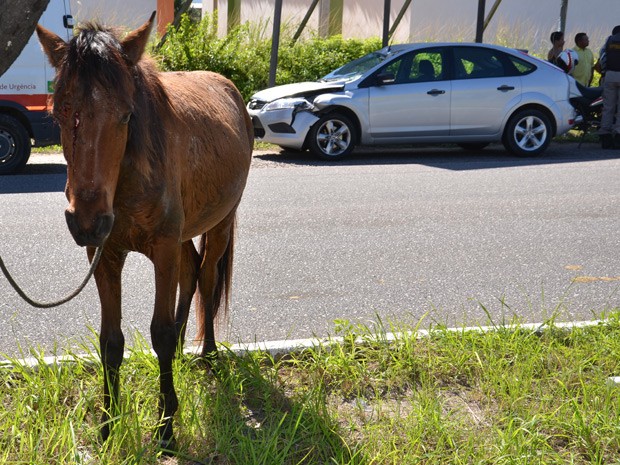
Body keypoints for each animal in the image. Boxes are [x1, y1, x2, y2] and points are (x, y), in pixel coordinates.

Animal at [35, 12, 252, 450]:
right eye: (61, 112)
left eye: (125, 115)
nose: (87, 220)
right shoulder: (104, 255)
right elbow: (110, 341)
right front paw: (107, 424)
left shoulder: (163, 248)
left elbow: (160, 334)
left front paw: (166, 427)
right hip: (183, 234)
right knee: (191, 273)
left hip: (220, 222)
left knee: (206, 276)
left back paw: (207, 353)